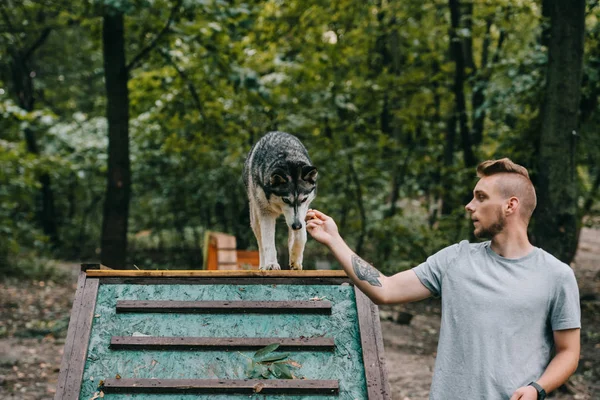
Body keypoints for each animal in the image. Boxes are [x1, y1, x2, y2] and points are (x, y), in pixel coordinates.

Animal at [244, 133, 318, 270]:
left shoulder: (302, 213)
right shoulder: (266, 214)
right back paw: (263, 265)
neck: (287, 156)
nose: (297, 225)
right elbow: (268, 242)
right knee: (261, 243)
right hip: (255, 217)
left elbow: (301, 237)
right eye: (285, 199)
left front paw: (295, 260)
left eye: (304, 199)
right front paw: (271, 264)